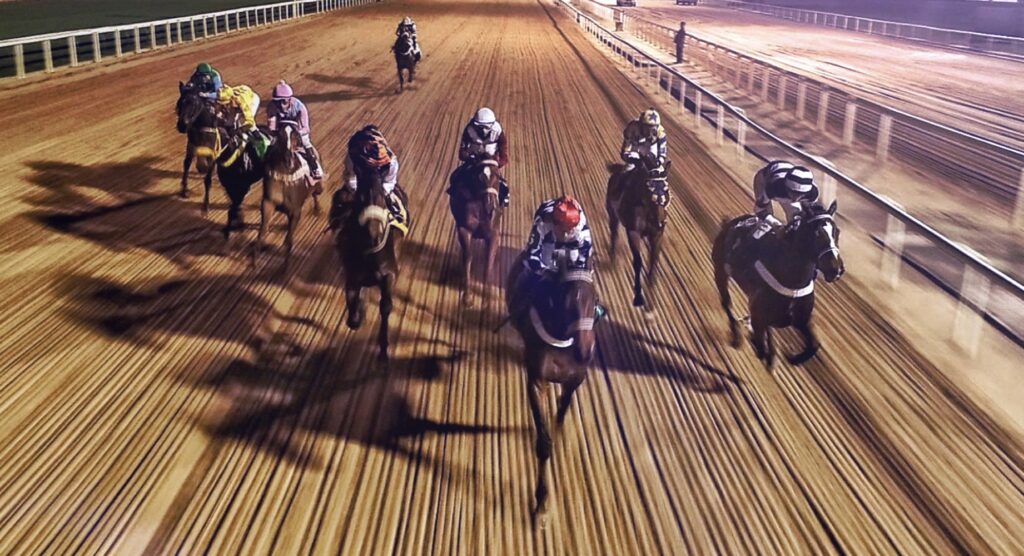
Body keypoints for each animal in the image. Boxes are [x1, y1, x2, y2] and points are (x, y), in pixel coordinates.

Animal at [452, 156, 503, 307]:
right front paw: (467, 296)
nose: (490, 205)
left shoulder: (493, 235)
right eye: (479, 177)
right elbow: (468, 258)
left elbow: (488, 262)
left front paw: (487, 299)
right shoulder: (464, 230)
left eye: (497, 175)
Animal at [505, 255, 598, 528]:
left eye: (594, 299)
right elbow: (544, 442)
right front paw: (541, 505)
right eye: (568, 300)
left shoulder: (574, 380)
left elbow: (558, 420)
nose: (586, 351)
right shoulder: (537, 381)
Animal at [606, 156, 671, 311]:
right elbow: (637, 262)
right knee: (614, 234)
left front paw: (651, 303)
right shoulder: (633, 232)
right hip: (612, 215)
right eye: (649, 188)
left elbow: (653, 266)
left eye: (666, 189)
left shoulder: (657, 236)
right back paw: (612, 261)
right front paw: (638, 298)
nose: (660, 222)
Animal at [712, 200, 847, 370]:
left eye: (837, 231)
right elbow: (760, 348)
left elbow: (814, 345)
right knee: (726, 304)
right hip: (720, 272)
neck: (792, 282)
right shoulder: (758, 314)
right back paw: (737, 336)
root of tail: (729, 223)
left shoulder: (801, 319)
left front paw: (793, 358)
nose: (836, 269)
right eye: (817, 233)